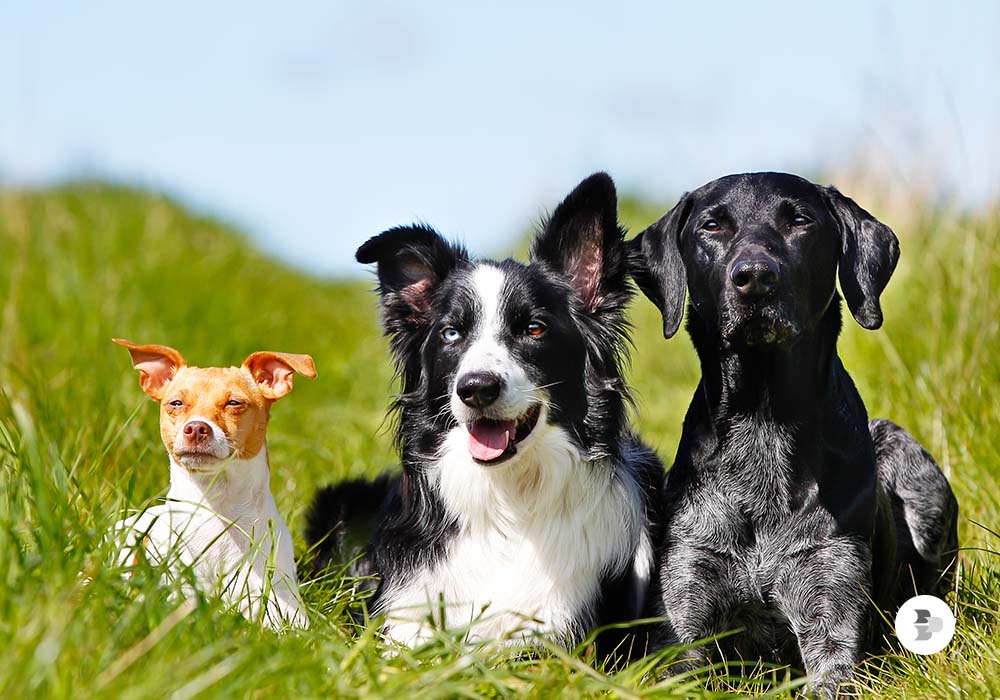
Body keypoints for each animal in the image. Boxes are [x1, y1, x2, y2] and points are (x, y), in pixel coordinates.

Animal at [628, 172, 956, 696]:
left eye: (799, 221)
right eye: (712, 225)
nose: (755, 277)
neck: (764, 421)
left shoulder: (830, 609)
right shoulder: (683, 611)